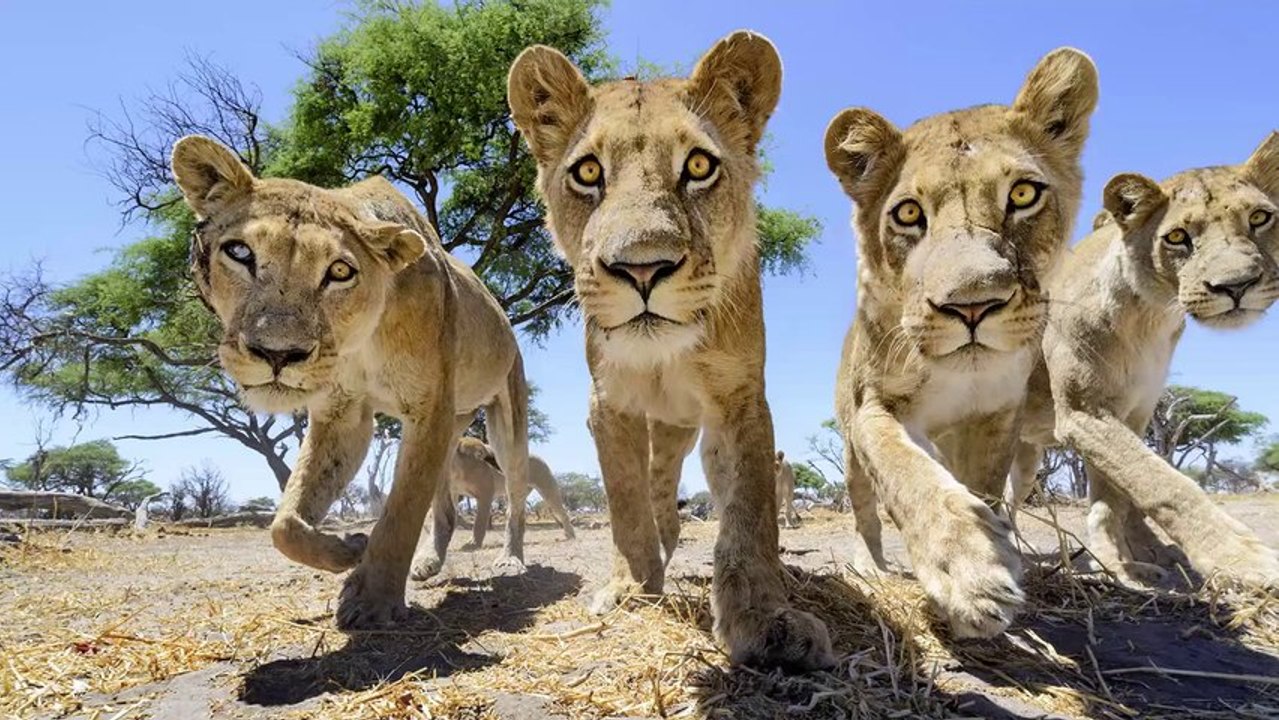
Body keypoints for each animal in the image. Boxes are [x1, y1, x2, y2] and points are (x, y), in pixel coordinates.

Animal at [171, 136, 531, 629]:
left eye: (340, 271)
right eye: (240, 253)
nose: (277, 353)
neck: (361, 339)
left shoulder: (428, 409)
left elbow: (401, 510)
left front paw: (371, 600)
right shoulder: (345, 414)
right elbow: (285, 522)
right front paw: (348, 549)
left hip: (504, 420)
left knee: (514, 491)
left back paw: (511, 559)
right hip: (452, 431)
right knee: (445, 507)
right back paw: (427, 563)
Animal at [507, 31, 834, 670]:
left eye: (699, 166)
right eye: (587, 171)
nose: (642, 268)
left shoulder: (740, 400)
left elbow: (749, 512)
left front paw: (764, 618)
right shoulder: (608, 405)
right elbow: (626, 501)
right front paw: (632, 589)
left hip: (687, 430)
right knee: (655, 486)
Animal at [824, 48, 1099, 638]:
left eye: (1023, 193)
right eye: (908, 213)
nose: (971, 305)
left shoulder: (996, 416)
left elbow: (984, 488)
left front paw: (991, 551)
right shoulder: (874, 407)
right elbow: (906, 473)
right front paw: (971, 570)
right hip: (849, 446)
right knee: (864, 507)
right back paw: (870, 565)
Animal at [1008, 133, 1279, 586]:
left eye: (1260, 217)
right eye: (1178, 237)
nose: (1237, 285)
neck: (1151, 316)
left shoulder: (1134, 413)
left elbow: (1118, 498)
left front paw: (1131, 560)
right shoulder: (1084, 413)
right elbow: (1161, 482)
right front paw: (1243, 557)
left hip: (1026, 454)